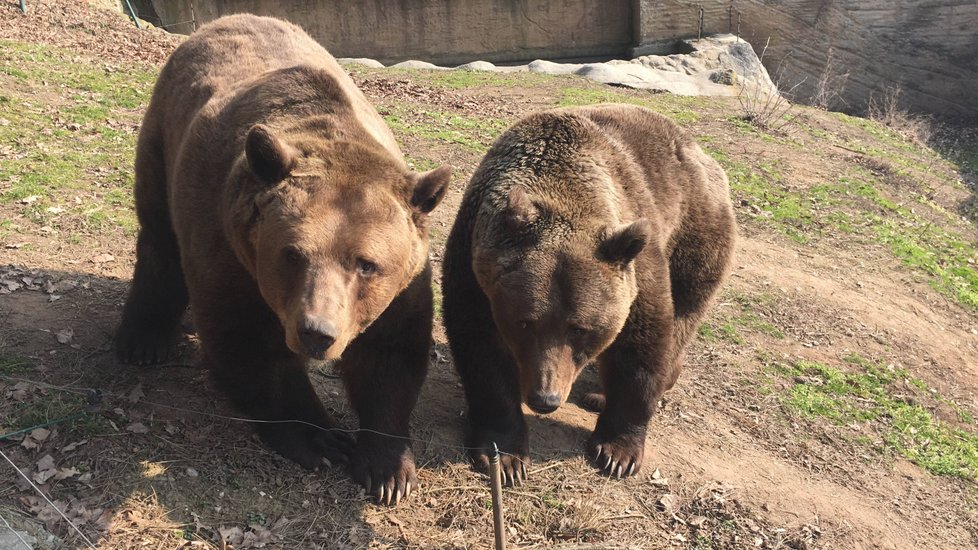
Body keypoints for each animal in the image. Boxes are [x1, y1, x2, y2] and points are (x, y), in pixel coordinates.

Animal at [114, 12, 450, 506]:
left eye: (366, 264)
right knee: (159, 236)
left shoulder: (403, 282)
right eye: (292, 254)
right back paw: (142, 341)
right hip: (164, 135)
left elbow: (389, 353)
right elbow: (249, 343)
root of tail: (221, 21)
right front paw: (322, 440)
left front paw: (388, 471)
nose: (316, 333)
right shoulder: (230, 249)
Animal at [442, 105, 732, 486]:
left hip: (694, 233)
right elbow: (481, 350)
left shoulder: (636, 264)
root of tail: (703, 154)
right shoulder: (475, 266)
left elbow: (641, 345)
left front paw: (617, 452)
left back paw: (611, 392)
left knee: (684, 314)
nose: (545, 398)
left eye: (580, 328)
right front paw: (505, 456)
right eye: (524, 323)